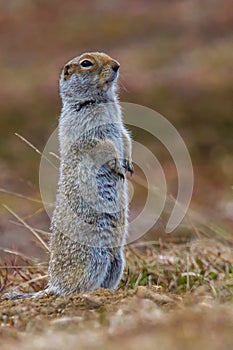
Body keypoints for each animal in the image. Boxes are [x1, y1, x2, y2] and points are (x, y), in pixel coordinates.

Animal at [47, 51, 133, 296]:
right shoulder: (88, 133)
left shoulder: (120, 126)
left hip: (117, 261)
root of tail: (53, 285)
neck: (102, 100)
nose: (117, 65)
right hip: (94, 259)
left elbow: (125, 137)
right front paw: (119, 167)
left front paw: (129, 164)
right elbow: (105, 146)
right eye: (86, 63)